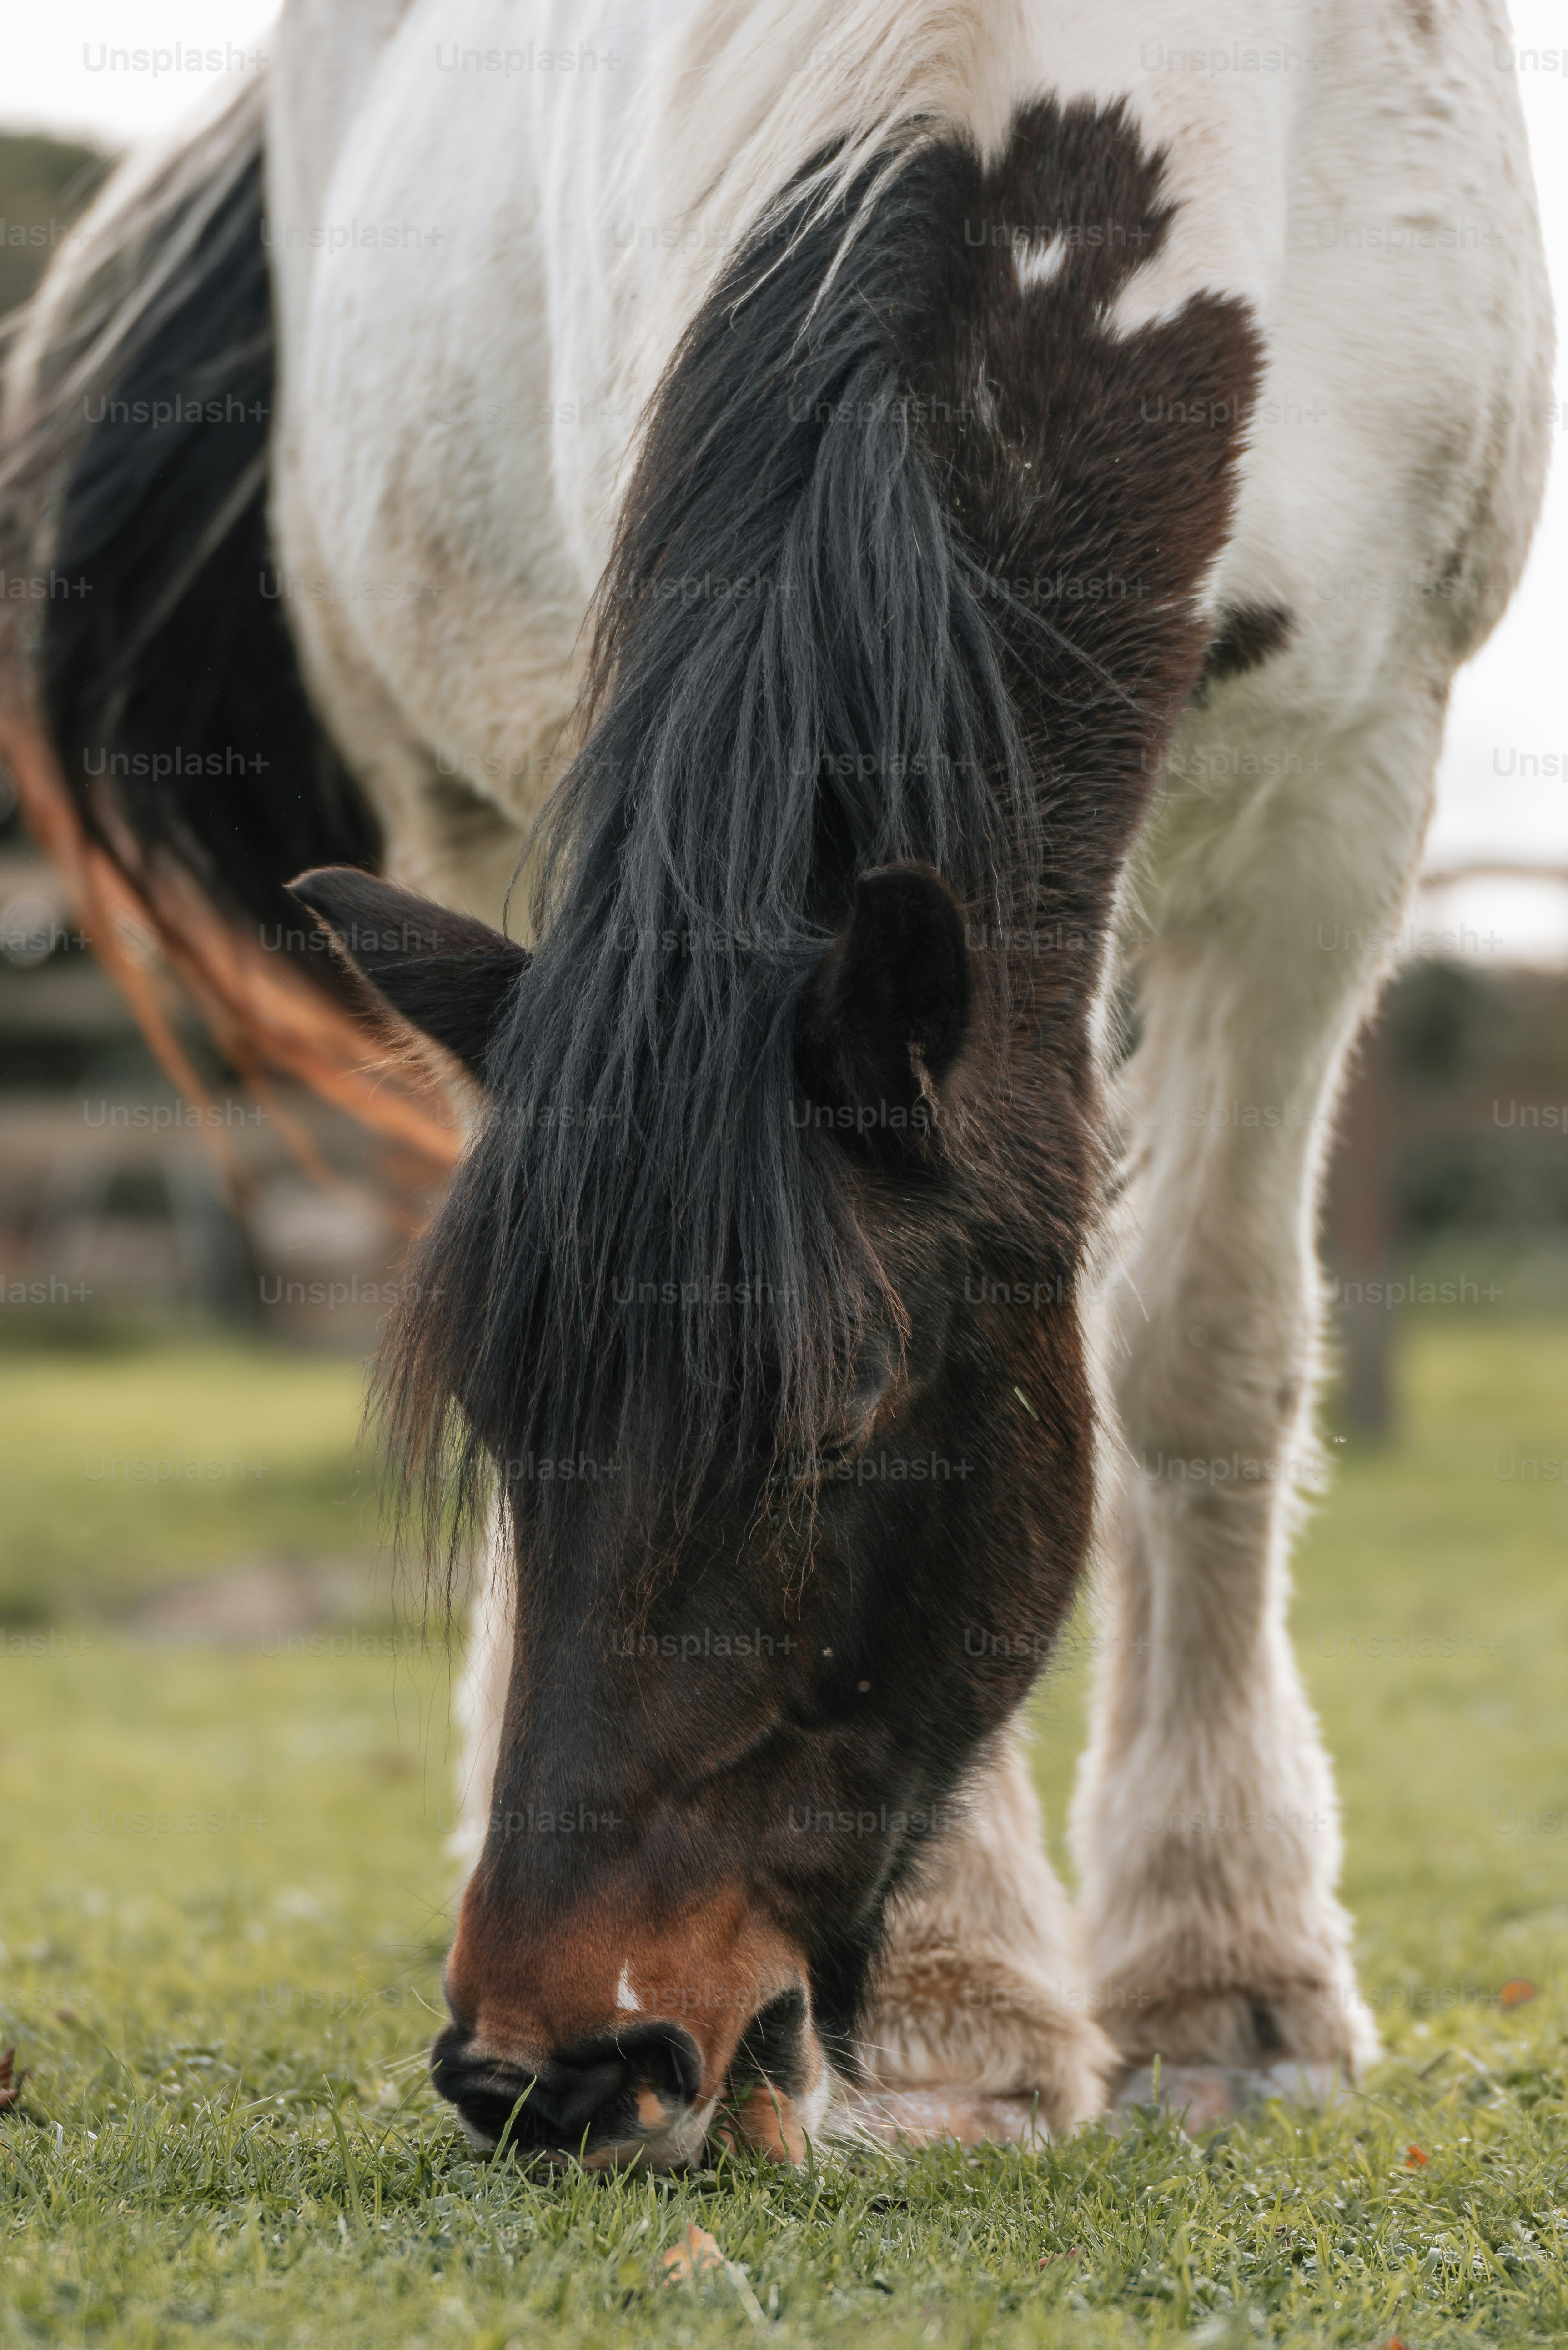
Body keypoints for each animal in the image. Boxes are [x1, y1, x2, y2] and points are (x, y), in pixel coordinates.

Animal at [0, 0, 1550, 2168]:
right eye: (495, 1414)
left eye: (833, 1420)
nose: (551, 2062)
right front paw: (964, 2017)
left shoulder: (1345, 784)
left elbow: (1199, 1351)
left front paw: (1225, 1986)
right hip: (461, 800)